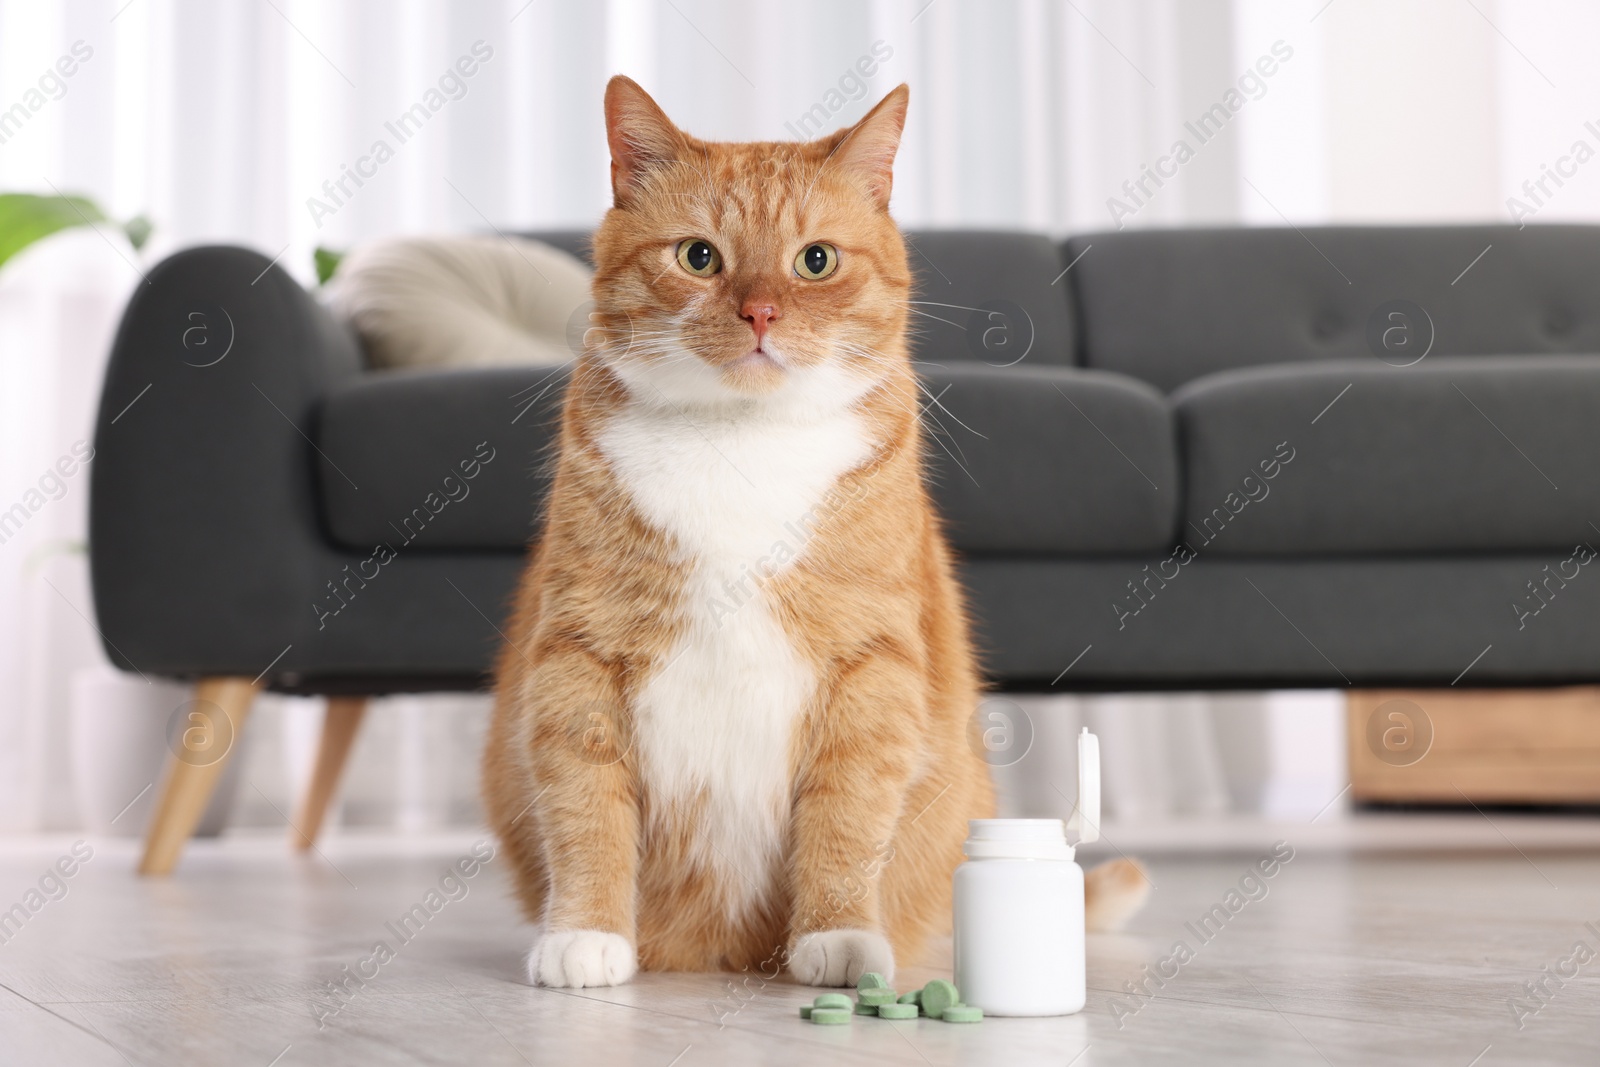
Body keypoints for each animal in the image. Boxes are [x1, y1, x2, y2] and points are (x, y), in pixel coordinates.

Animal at [480, 79, 1145, 991]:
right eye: (699, 257)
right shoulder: (579, 651)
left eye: (816, 261)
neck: (739, 442)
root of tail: (719, 953)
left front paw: (839, 934)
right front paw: (586, 931)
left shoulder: (872, 664)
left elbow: (848, 815)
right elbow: (585, 805)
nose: (760, 310)